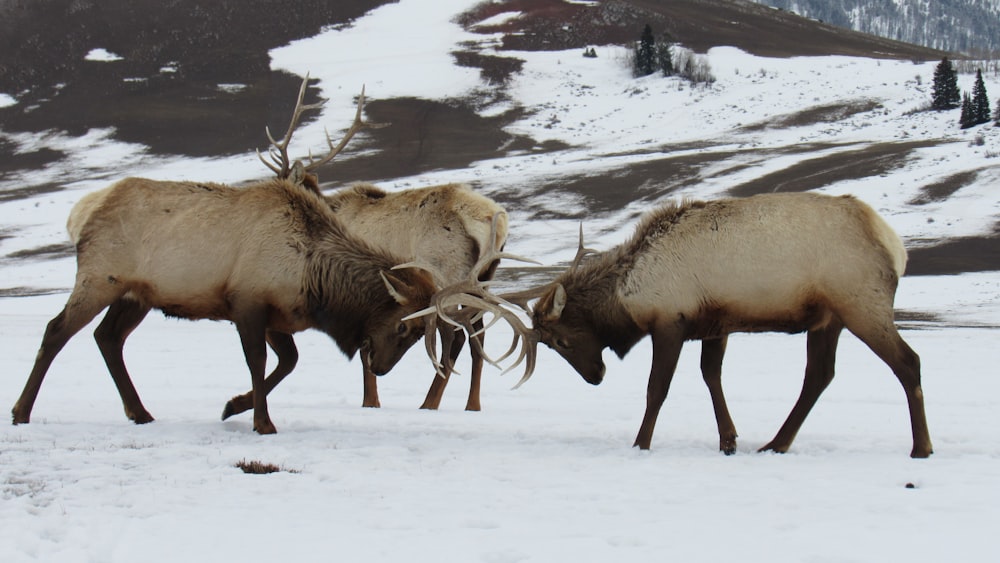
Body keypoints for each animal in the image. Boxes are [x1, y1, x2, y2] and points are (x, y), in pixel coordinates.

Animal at [11, 87, 446, 436]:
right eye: (405, 327)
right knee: (56, 330)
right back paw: (21, 411)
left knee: (108, 338)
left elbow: (288, 362)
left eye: (418, 332)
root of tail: (81, 211)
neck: (314, 280)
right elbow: (260, 361)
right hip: (100, 277)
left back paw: (140, 412)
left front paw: (233, 405)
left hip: (136, 294)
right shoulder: (247, 301)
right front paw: (262, 422)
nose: (381, 368)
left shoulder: (277, 314)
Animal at [508, 193, 936, 458]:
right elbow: (711, 375)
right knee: (819, 374)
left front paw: (641, 443)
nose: (595, 376)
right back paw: (776, 443)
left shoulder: (670, 320)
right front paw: (728, 440)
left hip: (861, 303)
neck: (627, 296)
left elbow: (657, 389)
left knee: (908, 362)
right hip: (828, 318)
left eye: (560, 341)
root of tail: (894, 243)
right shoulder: (715, 324)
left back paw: (921, 447)